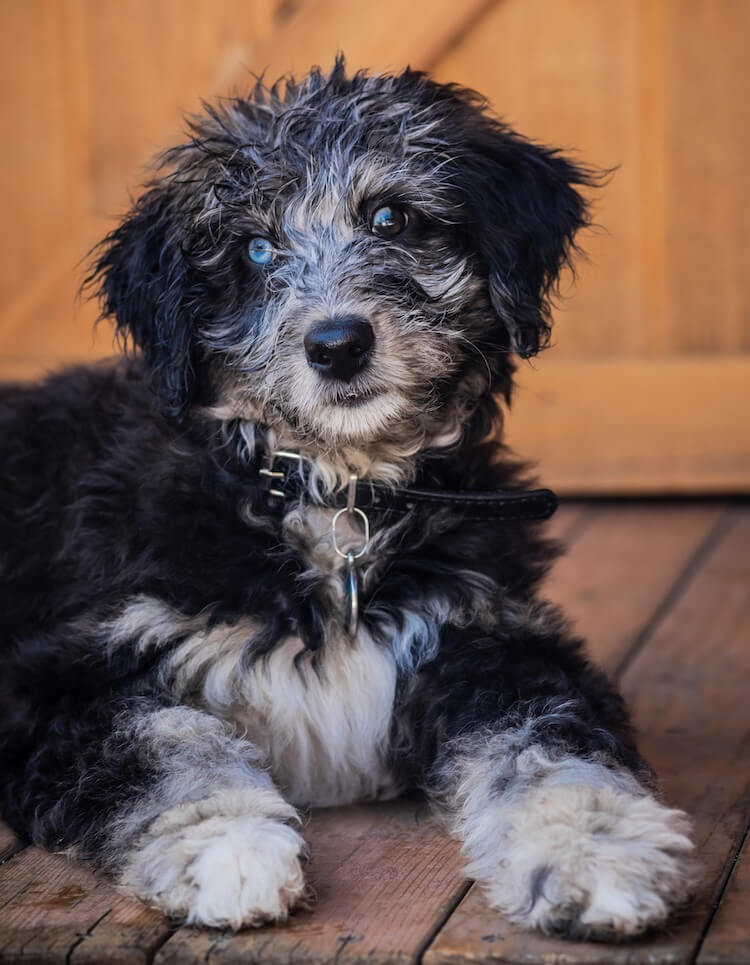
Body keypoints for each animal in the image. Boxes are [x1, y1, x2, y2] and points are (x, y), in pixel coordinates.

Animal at [0, 60, 700, 932]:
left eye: (392, 216)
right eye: (255, 248)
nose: (337, 345)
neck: (334, 493)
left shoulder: (491, 637)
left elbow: (551, 742)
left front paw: (596, 849)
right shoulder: (58, 679)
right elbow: (161, 743)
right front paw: (230, 847)